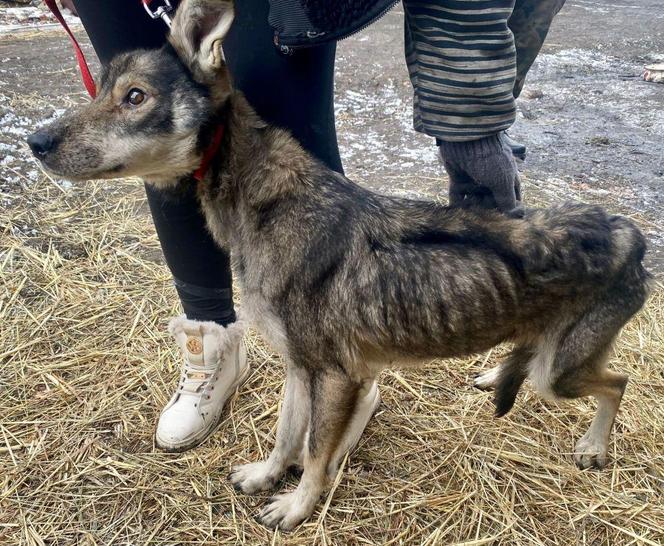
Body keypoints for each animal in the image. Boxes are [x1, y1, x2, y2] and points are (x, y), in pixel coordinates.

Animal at [28, 0, 652, 528]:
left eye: (135, 97)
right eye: (99, 90)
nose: (36, 141)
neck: (268, 202)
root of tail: (629, 233)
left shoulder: (335, 375)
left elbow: (313, 451)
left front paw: (297, 506)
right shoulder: (298, 366)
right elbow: (285, 435)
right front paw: (265, 476)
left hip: (558, 375)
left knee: (616, 382)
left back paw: (594, 447)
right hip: (550, 363)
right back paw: (494, 373)